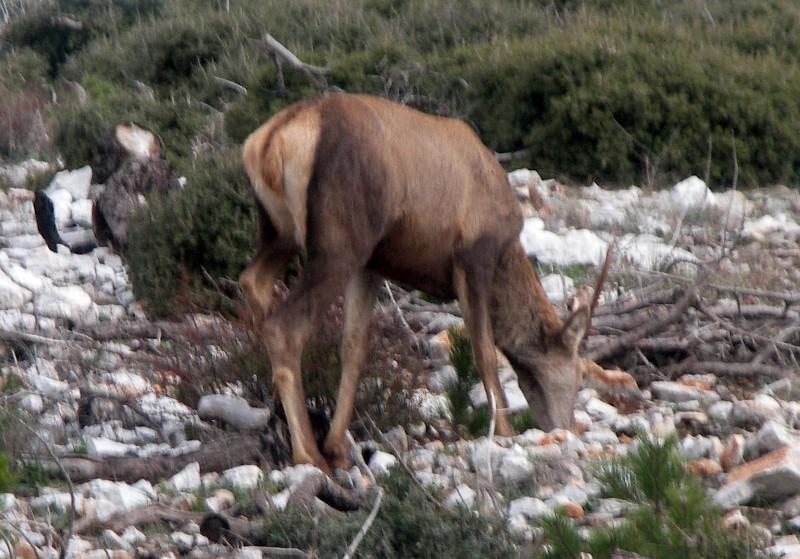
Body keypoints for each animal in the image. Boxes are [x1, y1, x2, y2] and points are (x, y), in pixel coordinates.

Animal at [241, 95, 596, 472]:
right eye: (579, 373)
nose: (564, 428)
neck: (507, 251)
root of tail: (269, 144)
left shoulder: (372, 265)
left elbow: (354, 348)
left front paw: (337, 444)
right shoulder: (473, 257)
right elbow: (485, 352)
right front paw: (504, 431)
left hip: (280, 232)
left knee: (254, 282)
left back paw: (277, 429)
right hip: (337, 245)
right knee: (284, 327)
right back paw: (307, 452)